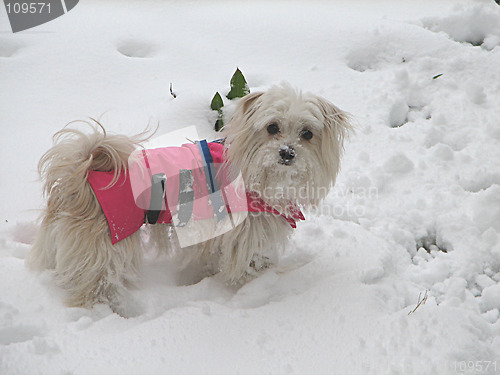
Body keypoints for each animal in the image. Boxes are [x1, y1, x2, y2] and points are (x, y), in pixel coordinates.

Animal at [25, 84, 350, 314]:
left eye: (307, 134)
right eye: (272, 128)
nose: (287, 152)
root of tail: (79, 174)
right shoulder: (242, 237)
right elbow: (247, 267)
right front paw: (261, 282)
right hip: (103, 247)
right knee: (90, 286)